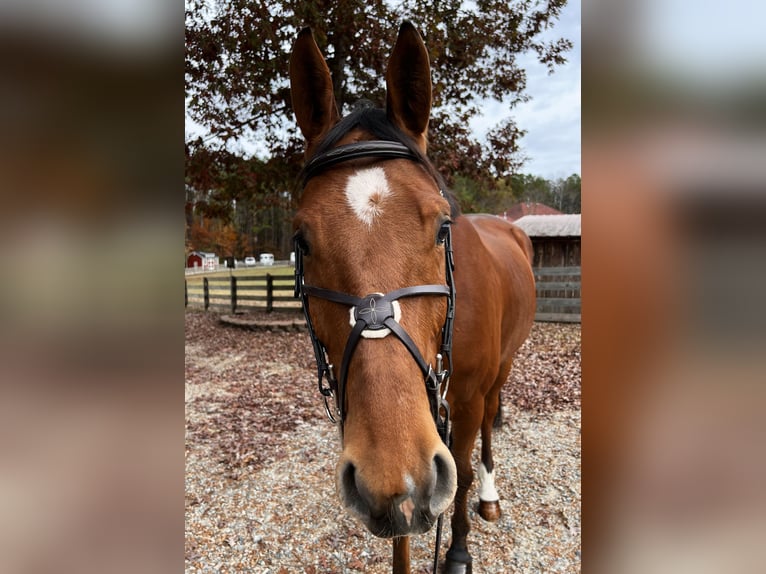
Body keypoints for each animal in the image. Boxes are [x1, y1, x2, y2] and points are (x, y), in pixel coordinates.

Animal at [292, 20, 536, 572]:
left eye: (442, 226)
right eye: (302, 239)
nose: (394, 474)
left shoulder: (460, 407)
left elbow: (459, 474)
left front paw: (459, 549)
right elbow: (401, 532)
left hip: (501, 369)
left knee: (489, 424)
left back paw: (490, 494)